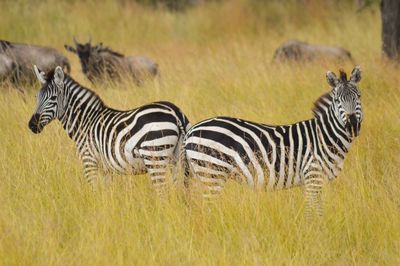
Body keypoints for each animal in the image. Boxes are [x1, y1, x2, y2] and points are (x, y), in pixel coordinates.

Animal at [28, 64, 191, 193]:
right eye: (36, 97)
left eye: (53, 98)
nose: (32, 125)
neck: (85, 121)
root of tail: (175, 112)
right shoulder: (106, 169)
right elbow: (105, 193)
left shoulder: (89, 161)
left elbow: (93, 191)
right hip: (176, 160)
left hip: (155, 157)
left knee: (162, 193)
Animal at [183, 66, 364, 216]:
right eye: (337, 100)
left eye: (359, 97)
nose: (352, 125)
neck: (324, 136)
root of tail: (192, 130)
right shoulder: (312, 175)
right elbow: (312, 211)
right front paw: (315, 232)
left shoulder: (315, 181)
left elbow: (317, 209)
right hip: (212, 174)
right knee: (209, 209)